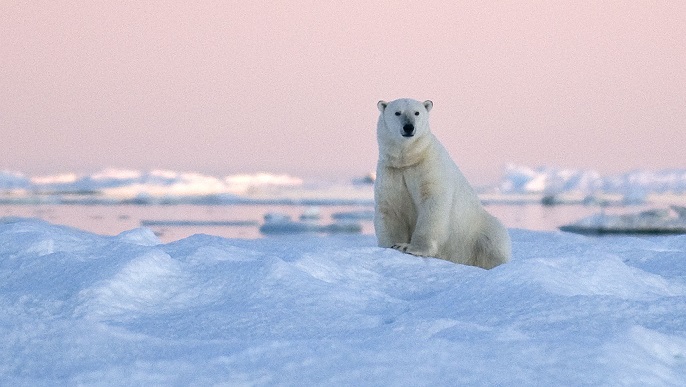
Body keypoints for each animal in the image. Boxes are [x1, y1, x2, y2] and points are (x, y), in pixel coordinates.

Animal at [374, 98, 512, 268]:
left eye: (417, 112)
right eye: (397, 112)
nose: (408, 127)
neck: (409, 159)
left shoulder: (429, 166)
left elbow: (433, 204)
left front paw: (410, 247)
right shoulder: (392, 172)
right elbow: (391, 208)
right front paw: (392, 245)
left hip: (478, 229)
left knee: (493, 240)